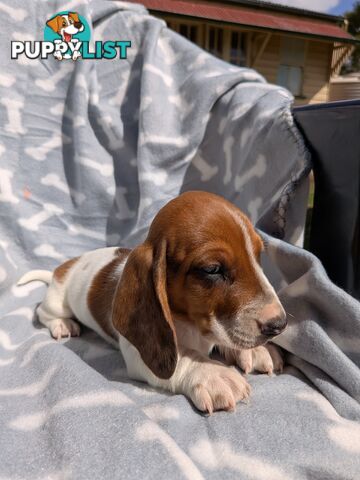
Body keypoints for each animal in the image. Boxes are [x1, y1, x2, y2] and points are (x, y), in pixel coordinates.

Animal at [18, 191, 286, 412]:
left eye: (258, 256)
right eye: (212, 269)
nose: (279, 325)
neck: (188, 323)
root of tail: (62, 268)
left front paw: (255, 351)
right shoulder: (140, 355)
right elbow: (183, 358)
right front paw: (213, 374)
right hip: (56, 301)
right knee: (43, 313)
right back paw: (62, 324)